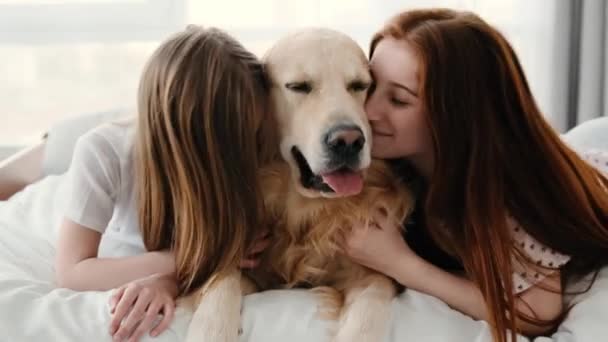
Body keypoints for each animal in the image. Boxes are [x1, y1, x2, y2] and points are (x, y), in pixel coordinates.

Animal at [183, 28, 416, 340]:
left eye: (359, 85)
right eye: (298, 87)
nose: (348, 141)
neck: (306, 211)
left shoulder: (370, 271)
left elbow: (372, 300)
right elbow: (223, 277)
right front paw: (212, 328)